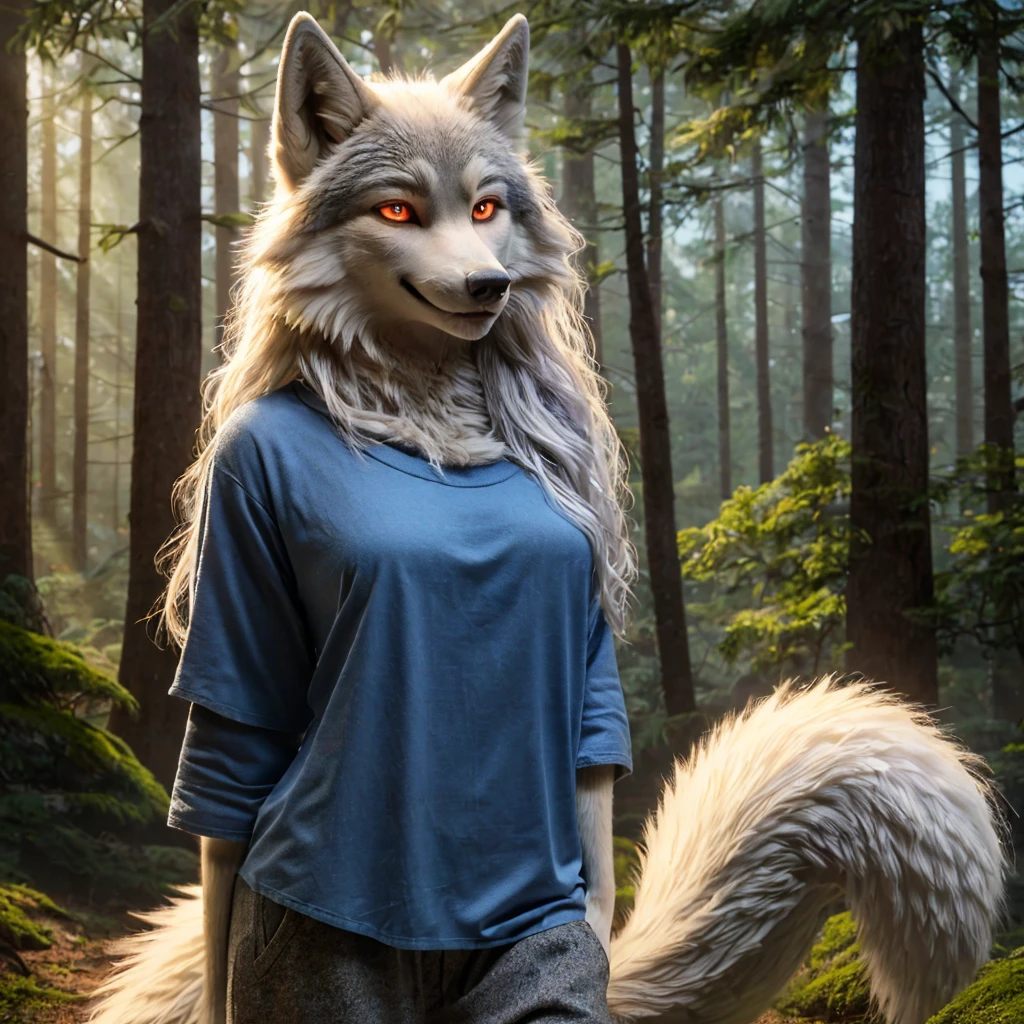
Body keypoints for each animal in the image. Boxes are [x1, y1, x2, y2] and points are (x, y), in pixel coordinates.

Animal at [88, 12, 1006, 1024]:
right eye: (399, 211)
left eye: (487, 208)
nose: (489, 287)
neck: (427, 418)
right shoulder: (239, 486)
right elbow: (231, 747)